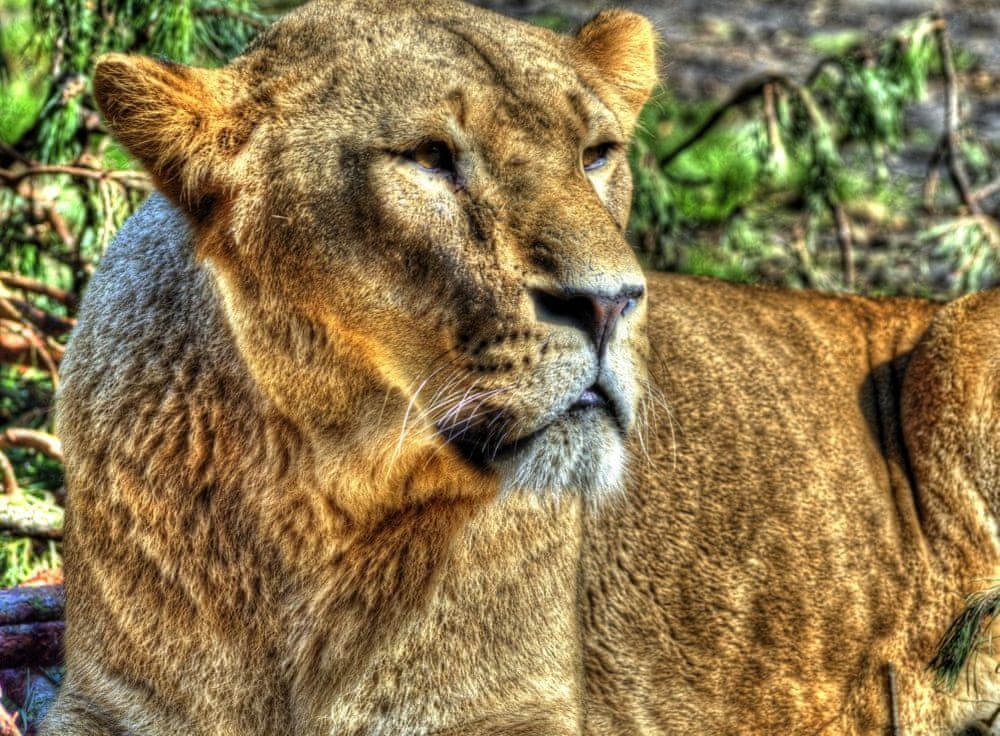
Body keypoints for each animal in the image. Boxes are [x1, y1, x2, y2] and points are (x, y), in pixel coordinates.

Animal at [39, 0, 1000, 733]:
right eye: (429, 158)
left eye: (596, 154)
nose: (612, 302)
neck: (311, 513)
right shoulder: (108, 707)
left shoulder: (516, 710)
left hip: (958, 341)